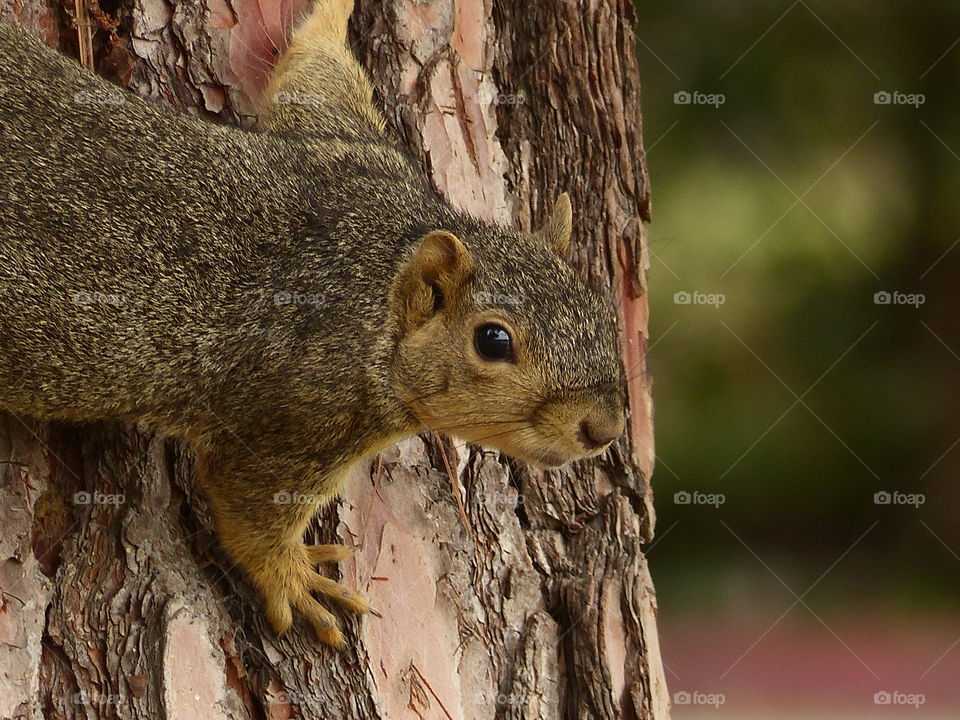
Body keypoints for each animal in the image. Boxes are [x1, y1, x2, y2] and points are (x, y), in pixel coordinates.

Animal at [0, 0, 628, 648]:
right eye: (493, 340)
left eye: (601, 309)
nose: (603, 430)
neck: (376, 274)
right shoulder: (294, 415)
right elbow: (248, 502)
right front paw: (293, 578)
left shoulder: (347, 148)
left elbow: (311, 74)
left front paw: (335, 13)